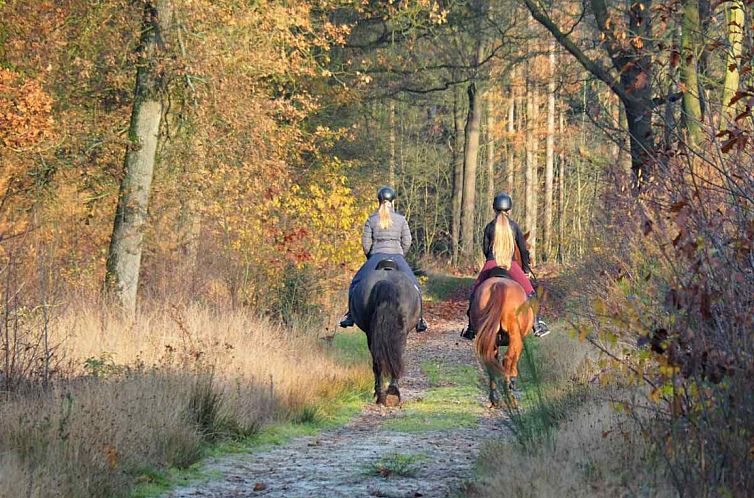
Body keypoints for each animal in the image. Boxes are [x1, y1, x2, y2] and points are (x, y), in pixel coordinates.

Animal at [470, 272, 536, 408]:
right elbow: (514, 362)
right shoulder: (520, 341)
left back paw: (495, 398)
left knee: (490, 360)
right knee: (507, 360)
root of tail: (499, 285)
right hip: (515, 337)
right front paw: (513, 383)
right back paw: (510, 397)